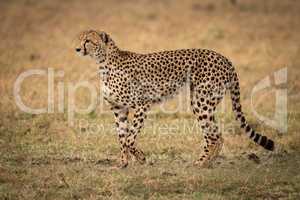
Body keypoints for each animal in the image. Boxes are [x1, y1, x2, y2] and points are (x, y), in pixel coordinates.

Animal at [75, 29, 274, 167]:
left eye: (88, 41)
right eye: (79, 39)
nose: (77, 48)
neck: (103, 62)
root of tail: (224, 58)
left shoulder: (142, 104)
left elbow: (129, 138)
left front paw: (141, 158)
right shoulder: (118, 108)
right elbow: (122, 136)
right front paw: (123, 162)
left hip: (201, 102)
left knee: (214, 136)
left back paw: (202, 163)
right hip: (202, 102)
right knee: (215, 134)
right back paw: (207, 161)